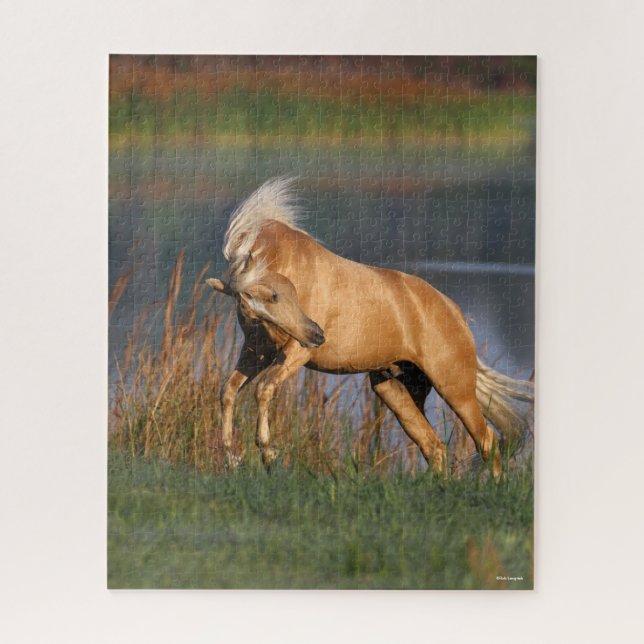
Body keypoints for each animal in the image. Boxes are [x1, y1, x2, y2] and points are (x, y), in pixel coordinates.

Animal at [207, 177, 533, 479]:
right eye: (248, 308)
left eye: (276, 297)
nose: (317, 336)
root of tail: (456, 314)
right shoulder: (256, 350)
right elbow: (229, 391)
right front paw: (233, 458)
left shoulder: (294, 352)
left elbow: (263, 389)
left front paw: (268, 453)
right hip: (395, 389)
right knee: (434, 447)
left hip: (455, 388)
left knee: (486, 440)